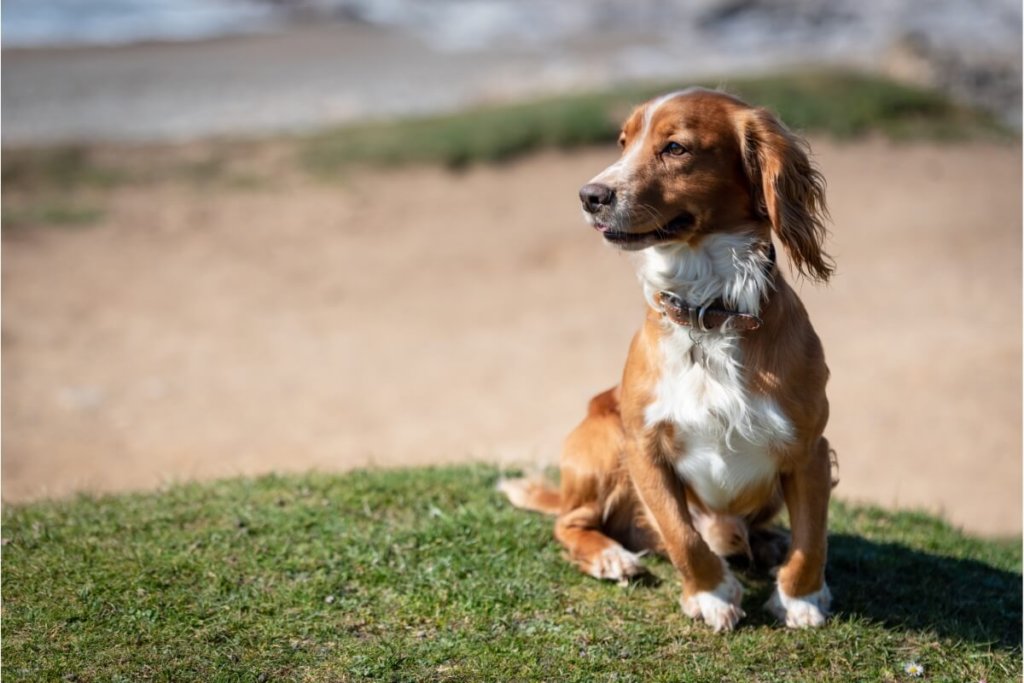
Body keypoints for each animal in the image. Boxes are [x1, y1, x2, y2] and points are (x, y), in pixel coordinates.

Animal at [499, 88, 835, 634]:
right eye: (622, 142)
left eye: (675, 148)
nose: (590, 195)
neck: (710, 312)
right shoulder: (644, 448)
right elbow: (682, 535)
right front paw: (712, 594)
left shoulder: (809, 449)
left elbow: (812, 538)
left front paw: (800, 598)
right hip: (602, 440)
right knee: (570, 522)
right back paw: (610, 555)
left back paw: (767, 544)